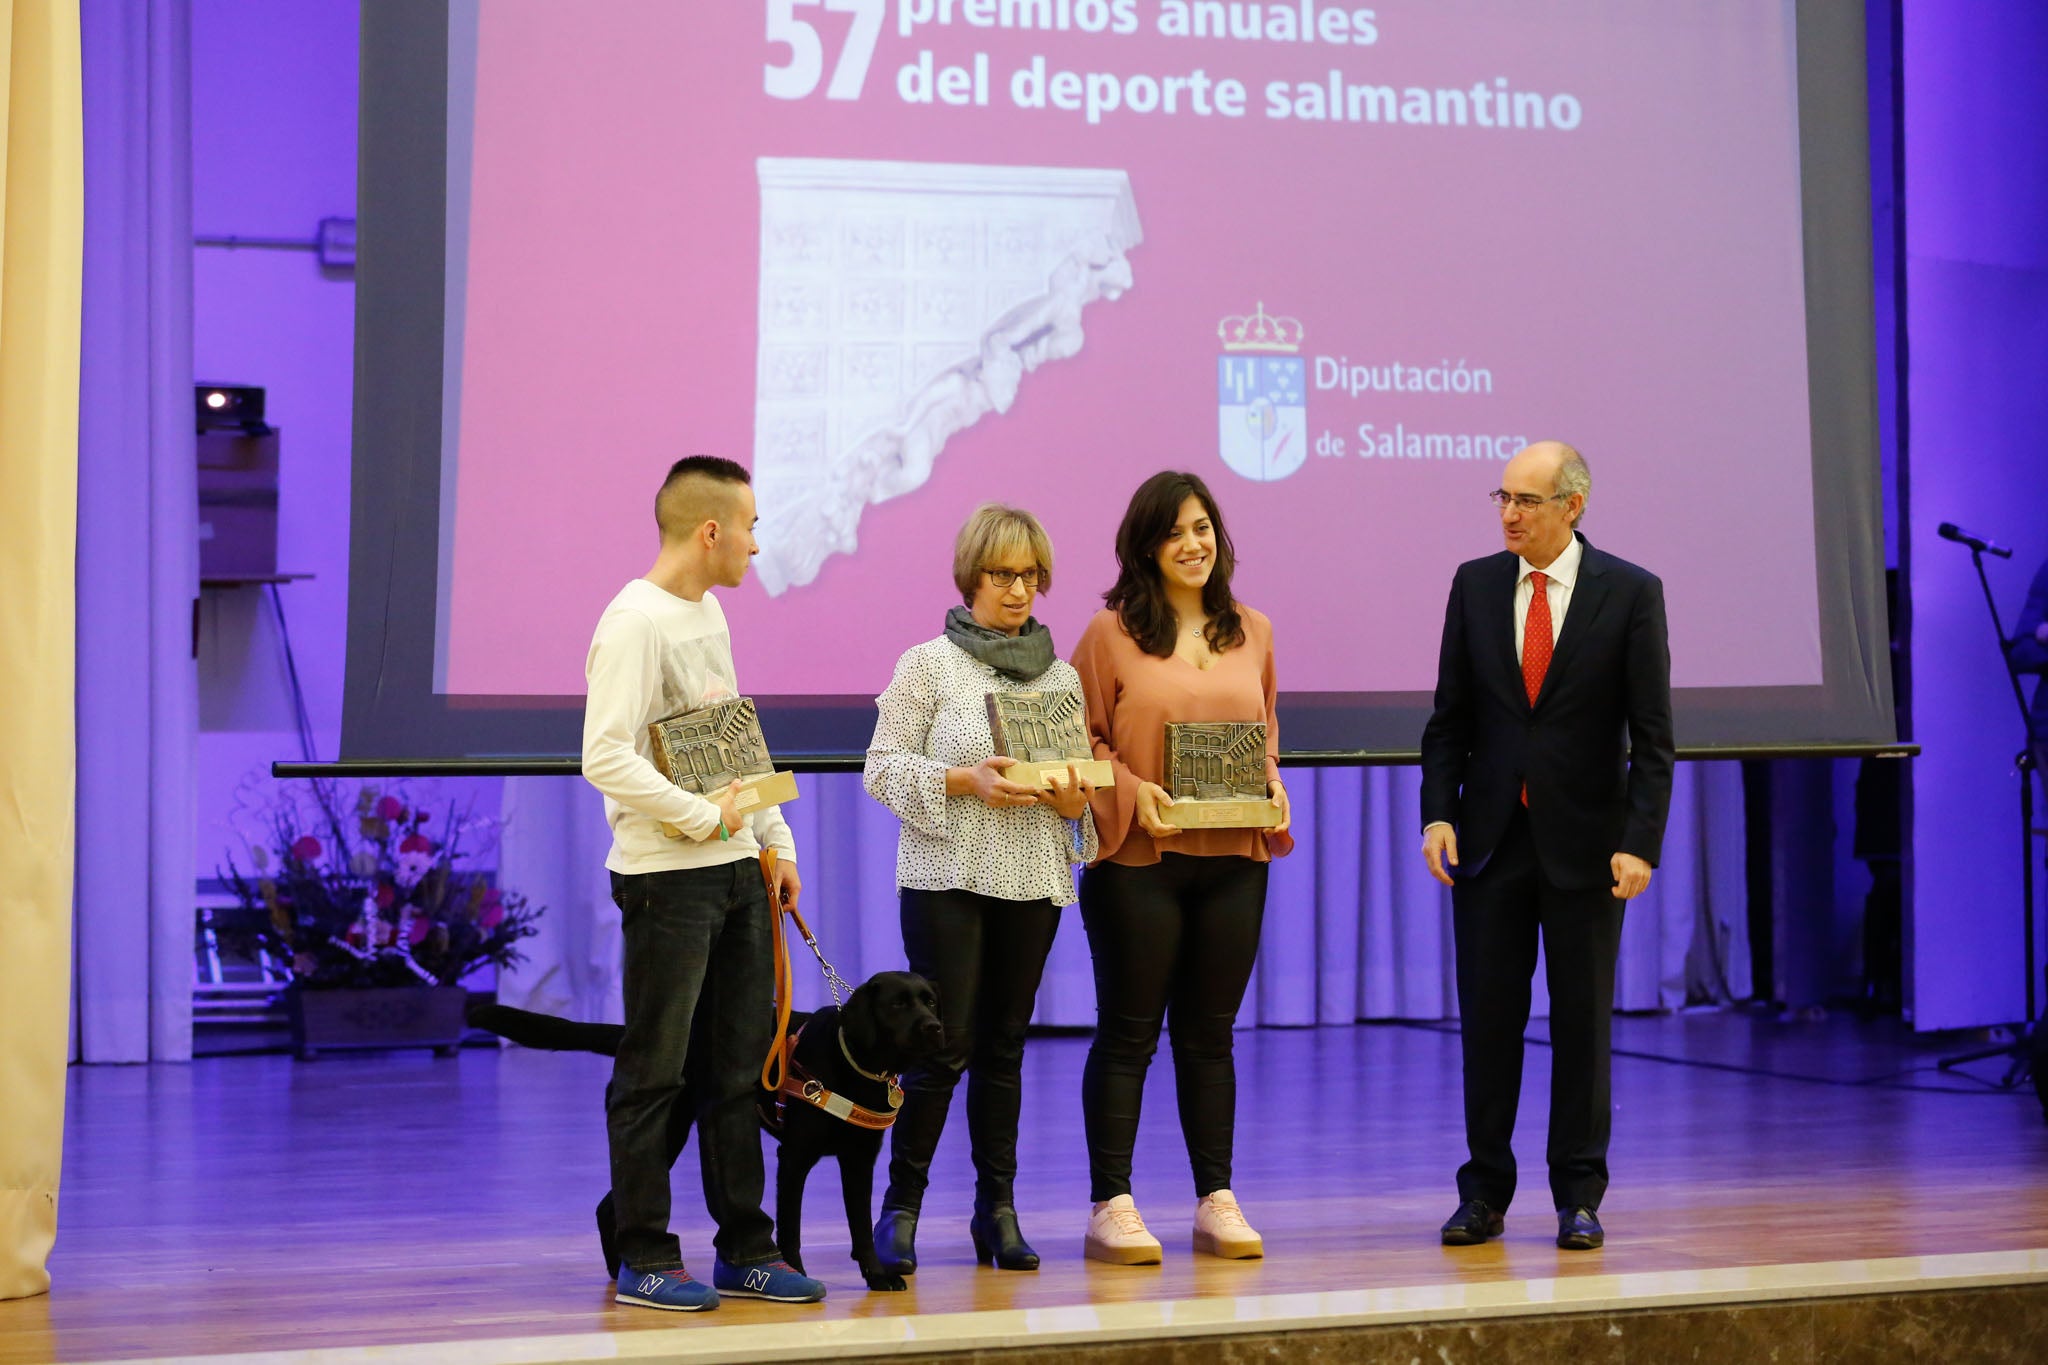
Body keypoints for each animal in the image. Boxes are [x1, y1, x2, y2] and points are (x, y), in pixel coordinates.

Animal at [468, 970, 937, 1293]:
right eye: (897, 1005)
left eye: (930, 1002)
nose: (934, 1027)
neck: (855, 1065)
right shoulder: (794, 1159)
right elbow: (791, 1227)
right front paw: (798, 1273)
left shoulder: (859, 1161)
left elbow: (860, 1225)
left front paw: (877, 1275)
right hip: (666, 1133)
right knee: (609, 1206)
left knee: (607, 1205)